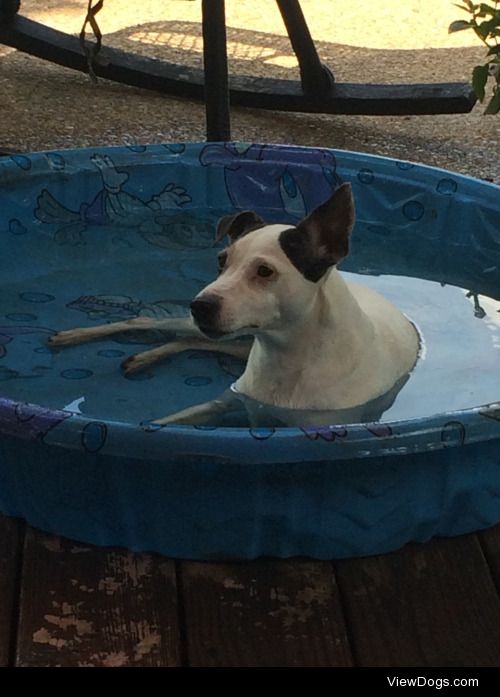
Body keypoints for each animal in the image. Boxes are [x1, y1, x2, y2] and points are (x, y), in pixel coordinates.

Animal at [49, 182, 418, 426]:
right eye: (221, 260)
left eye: (265, 271)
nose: (200, 305)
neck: (288, 359)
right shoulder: (228, 401)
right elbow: (165, 422)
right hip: (229, 338)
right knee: (145, 322)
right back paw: (75, 336)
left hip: (236, 344)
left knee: (191, 340)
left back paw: (143, 357)